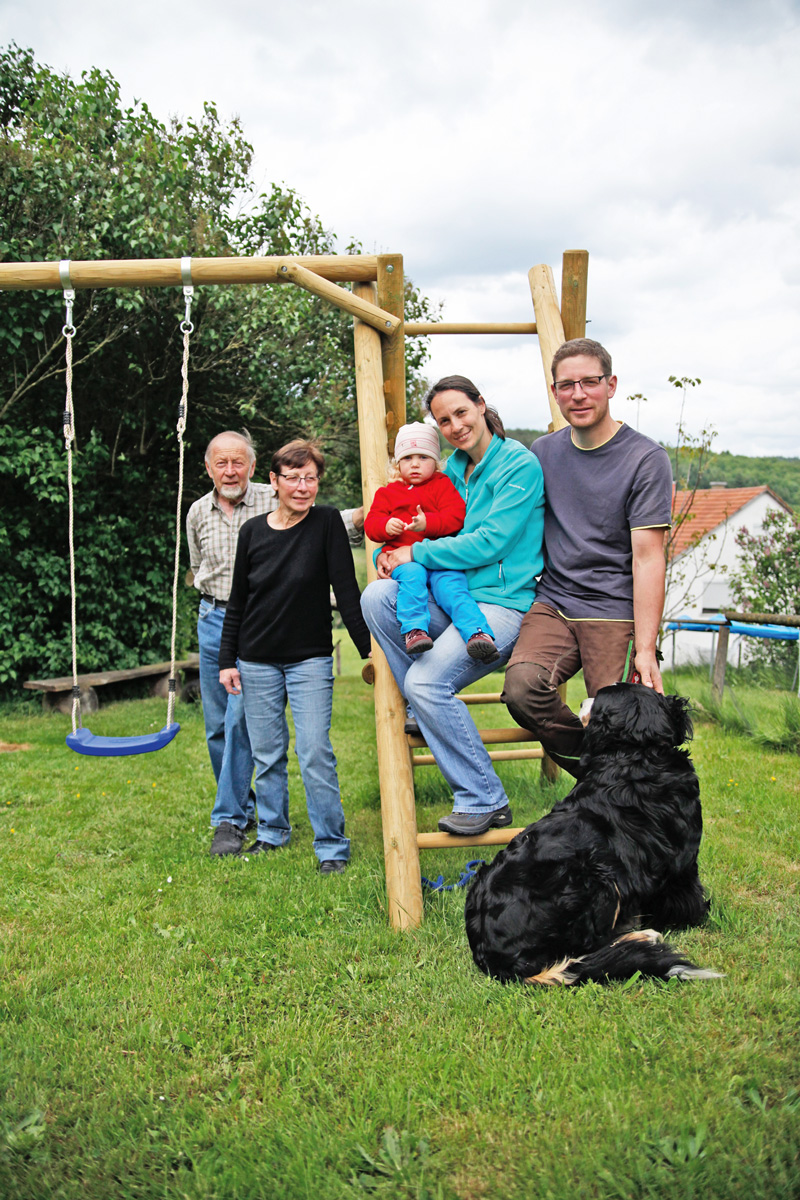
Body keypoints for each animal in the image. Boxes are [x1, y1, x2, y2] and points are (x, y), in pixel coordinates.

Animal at [462, 686, 719, 984]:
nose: (583, 702)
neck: (636, 754)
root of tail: (495, 957)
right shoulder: (682, 858)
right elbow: (687, 896)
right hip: (597, 875)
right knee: (590, 946)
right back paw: (643, 936)